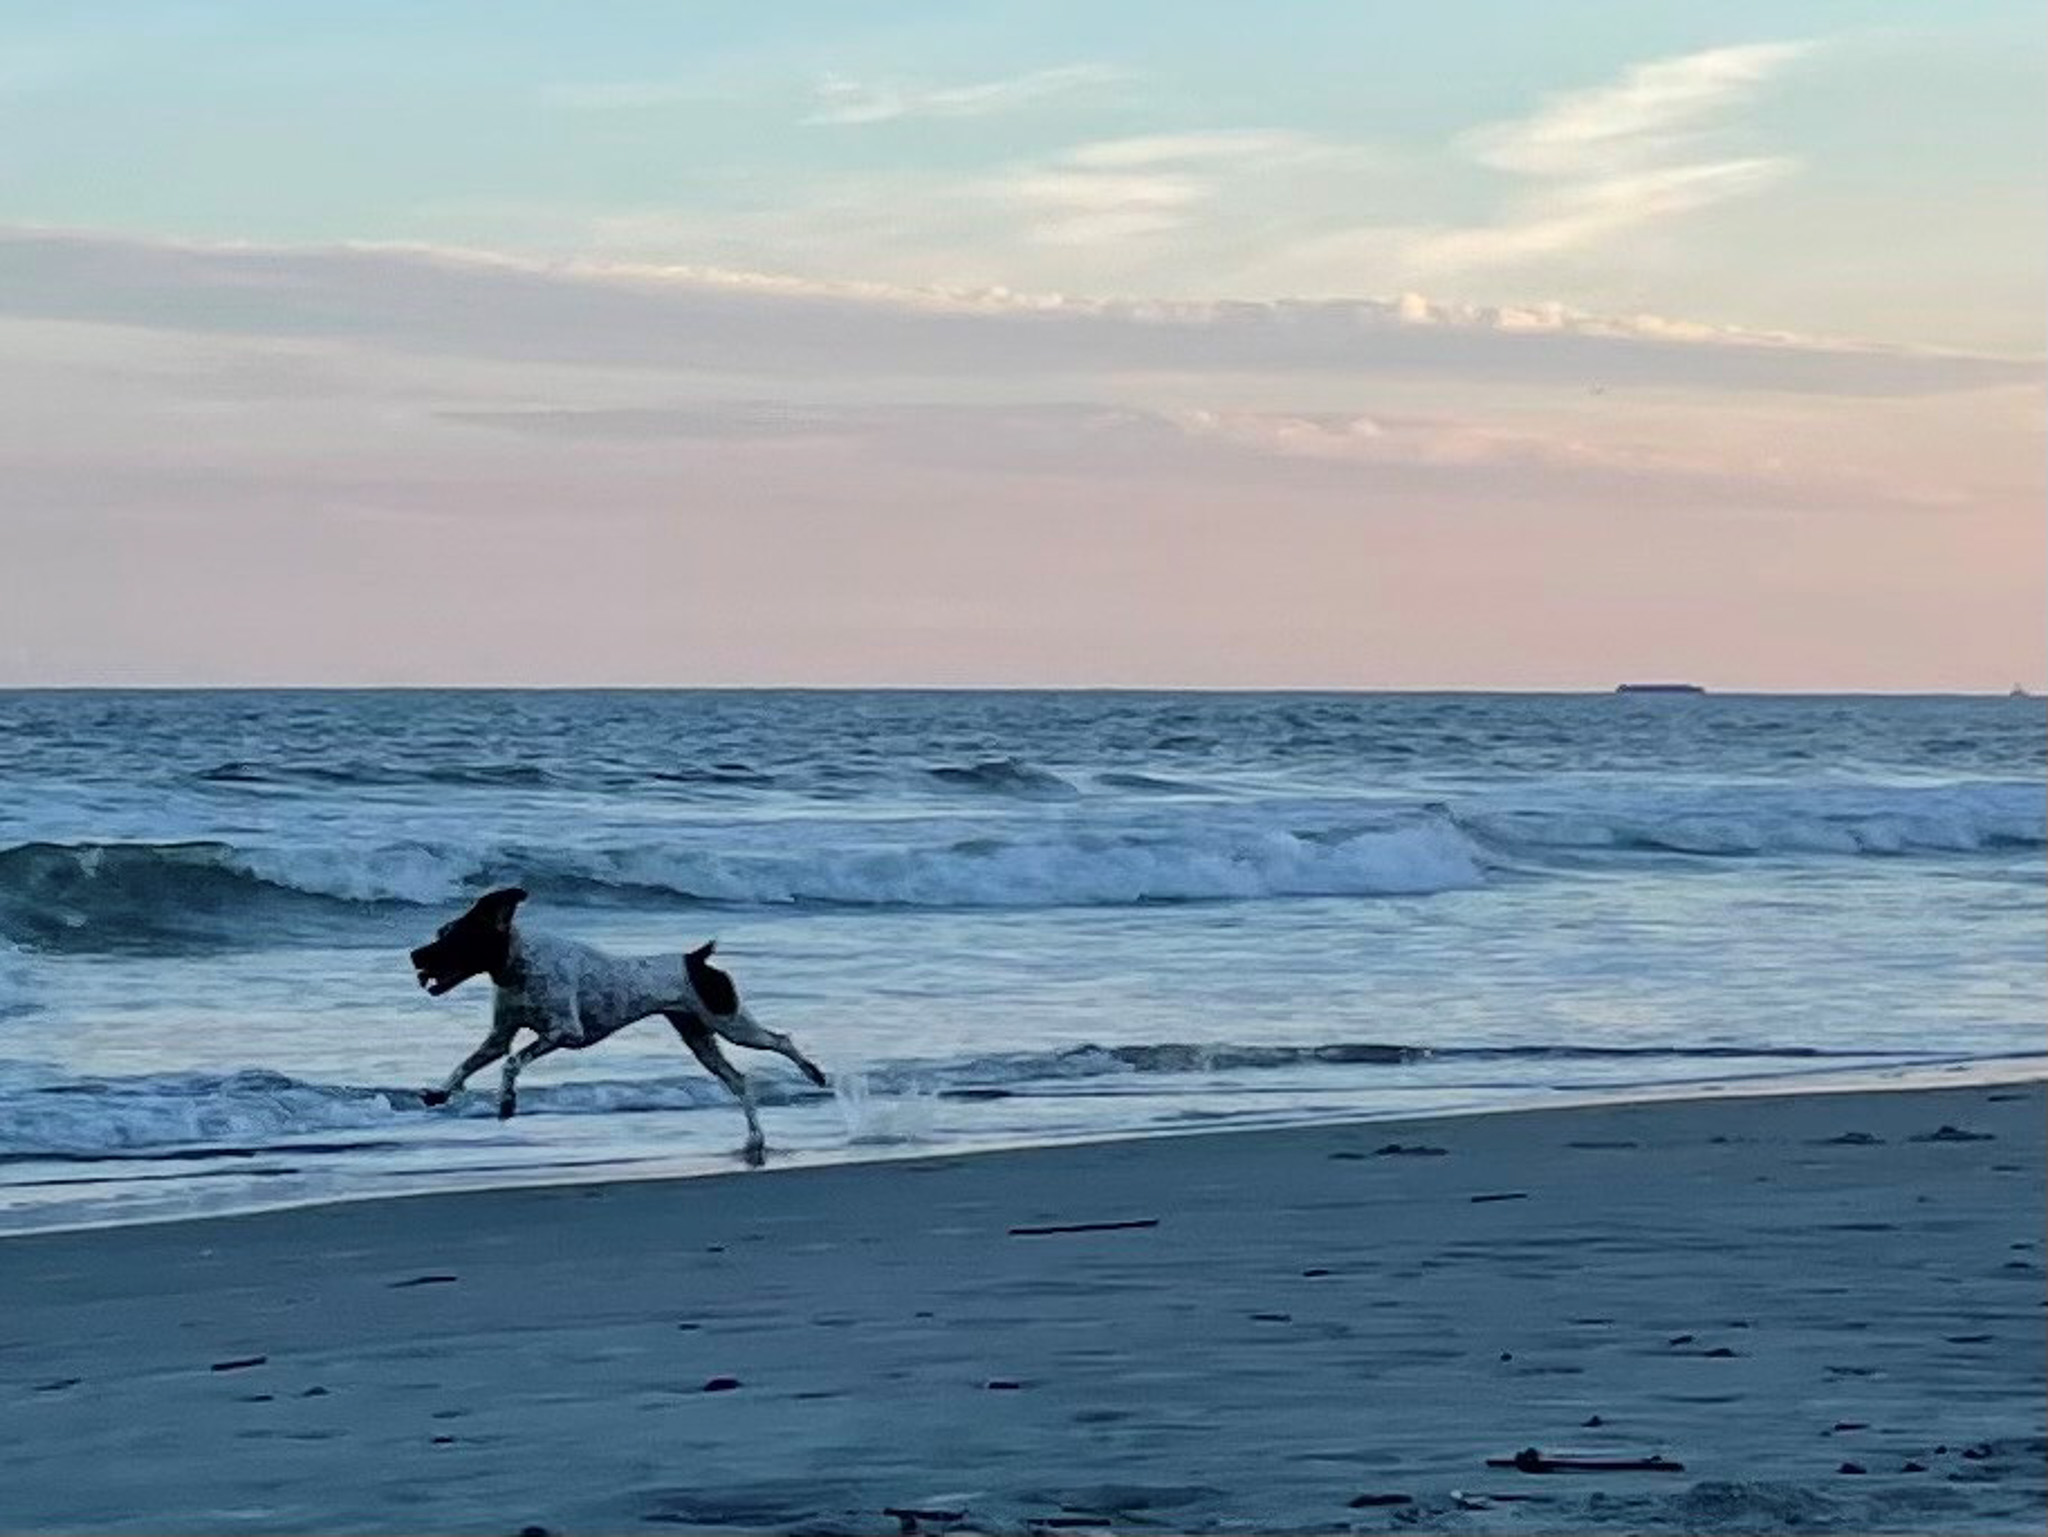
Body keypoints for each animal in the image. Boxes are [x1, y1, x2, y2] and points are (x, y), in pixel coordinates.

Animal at [407, 889, 823, 1164]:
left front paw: (507, 1102)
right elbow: (465, 1065)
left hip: (731, 1025)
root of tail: (696, 959)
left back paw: (814, 1074)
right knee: (739, 1081)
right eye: (441, 932)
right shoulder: (499, 1037)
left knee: (780, 1040)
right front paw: (441, 1092)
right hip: (700, 1039)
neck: (518, 964)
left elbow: (512, 1063)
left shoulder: (565, 1033)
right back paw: (755, 1139)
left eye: (456, 938)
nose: (414, 954)